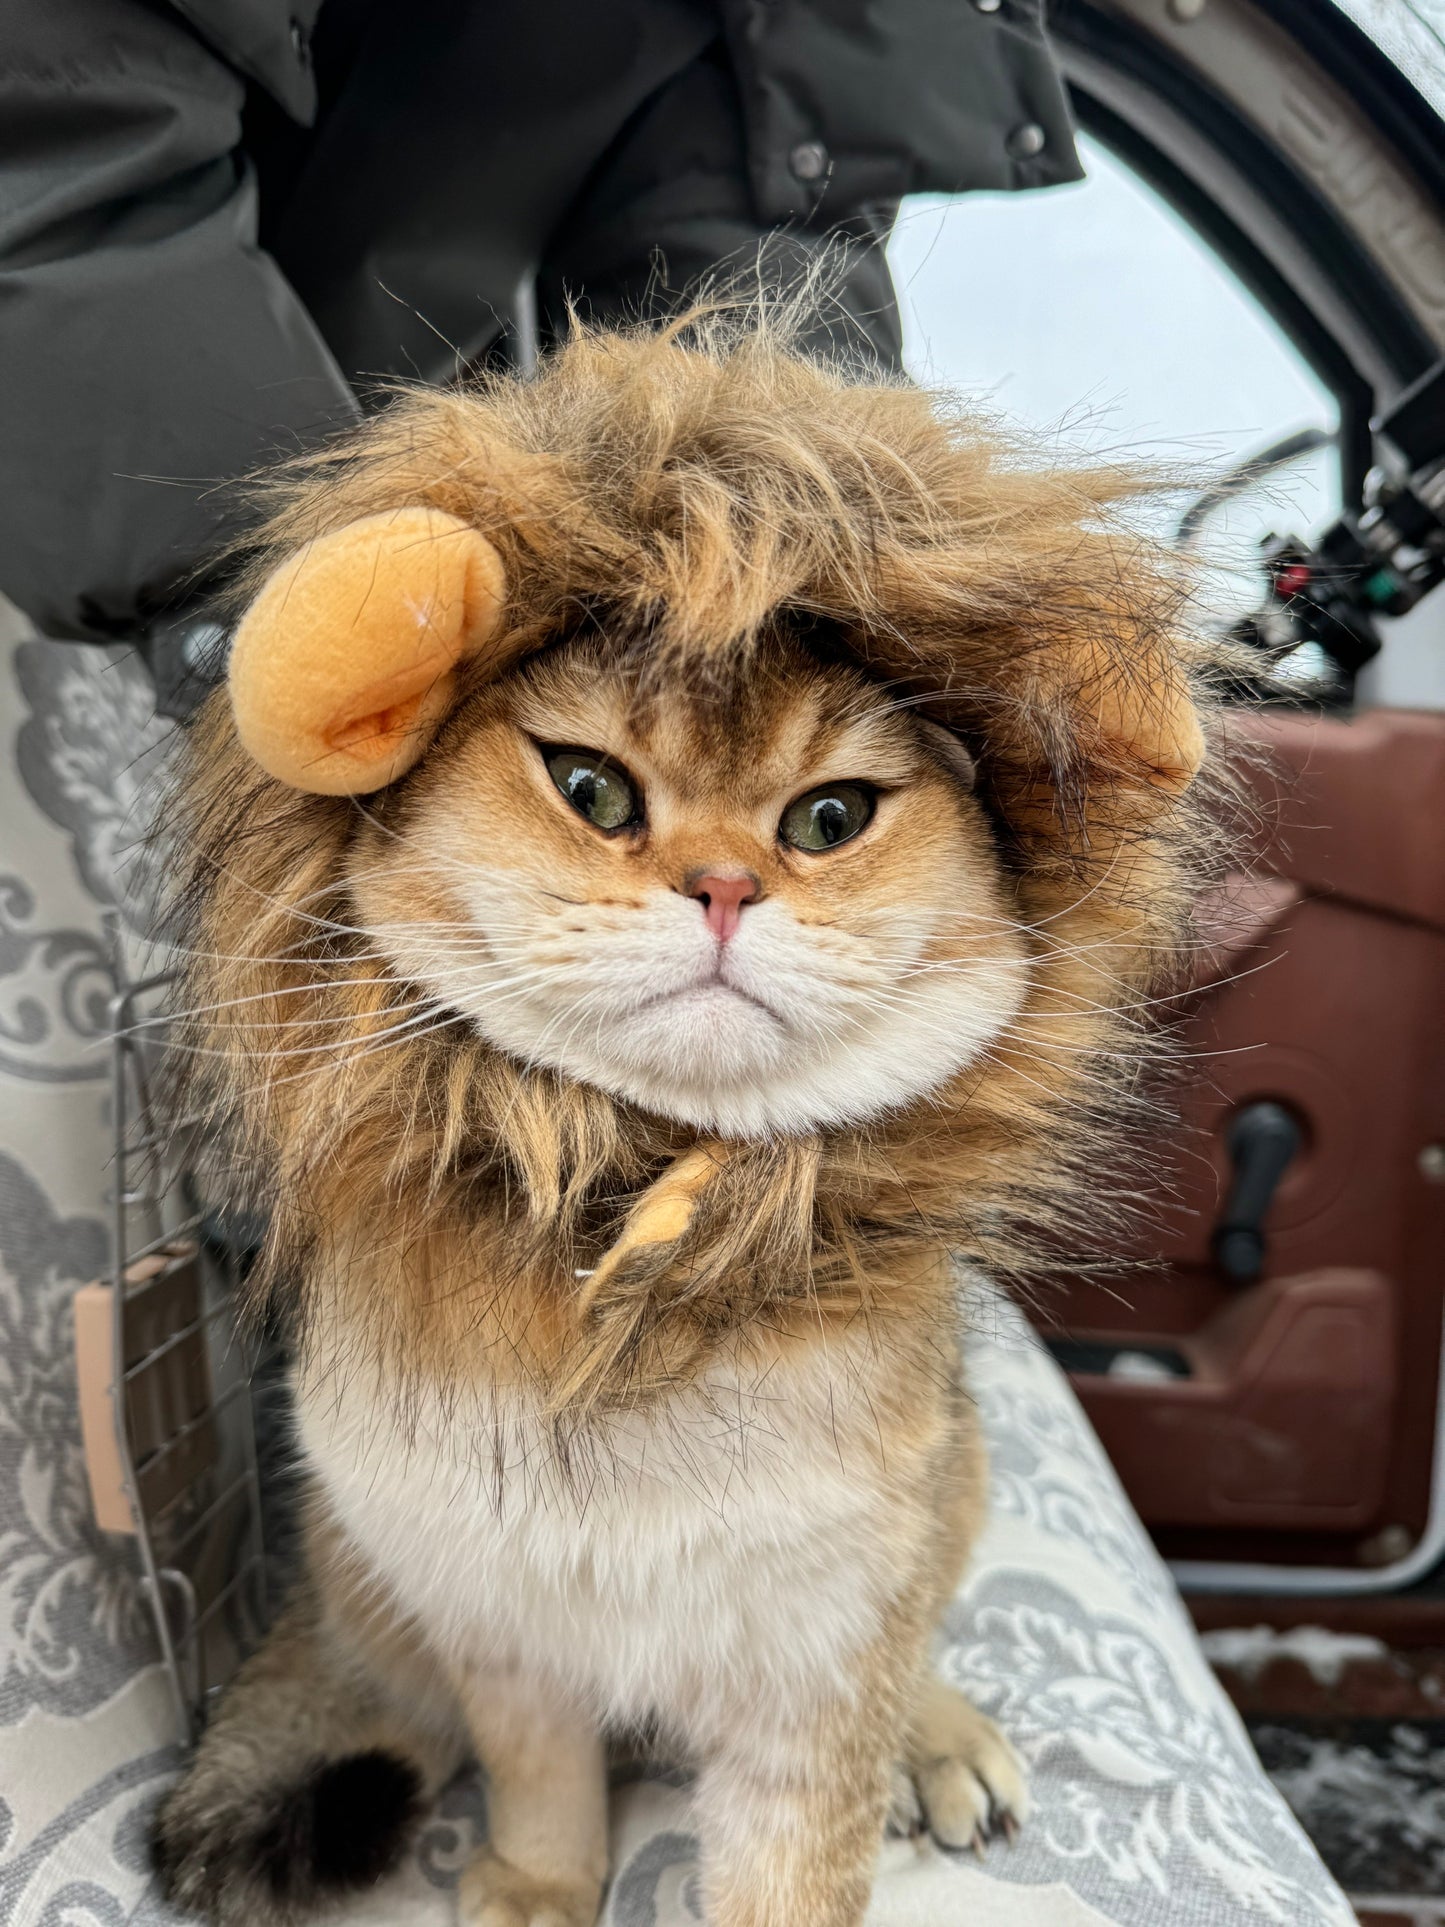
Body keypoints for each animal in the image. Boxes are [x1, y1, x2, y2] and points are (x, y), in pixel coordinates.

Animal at [153, 316, 1217, 1927]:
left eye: (831, 818)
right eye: (590, 787)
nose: (722, 888)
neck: (644, 1225)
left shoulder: (817, 1669)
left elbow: (799, 1852)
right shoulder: (502, 1613)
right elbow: (537, 1771)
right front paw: (535, 1886)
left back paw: (940, 1737)